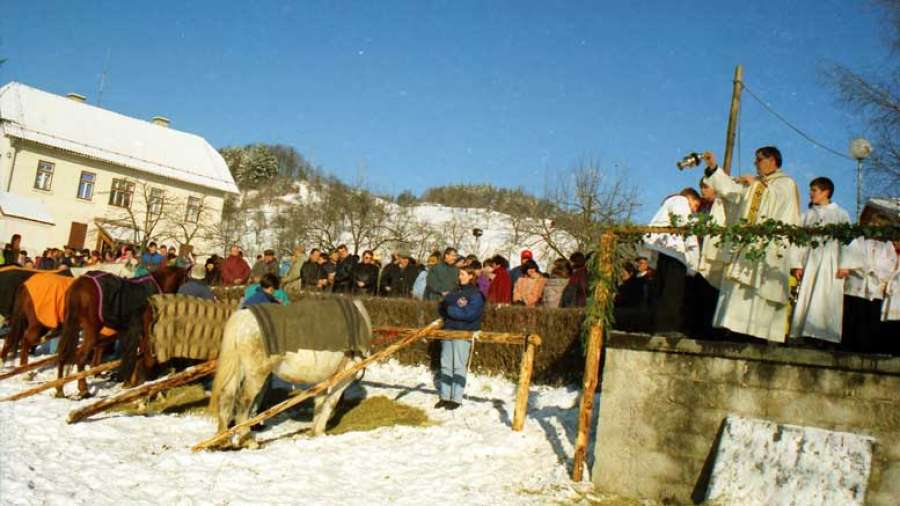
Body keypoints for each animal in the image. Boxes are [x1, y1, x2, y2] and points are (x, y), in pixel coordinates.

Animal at [55, 266, 186, 398]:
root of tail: (78, 286)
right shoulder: (146, 330)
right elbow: (146, 356)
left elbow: (138, 355)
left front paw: (131, 381)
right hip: (91, 330)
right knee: (81, 357)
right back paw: (83, 389)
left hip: (71, 326)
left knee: (62, 354)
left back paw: (60, 389)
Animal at [209, 298, 370, 448]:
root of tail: (244, 316)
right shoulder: (345, 375)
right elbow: (330, 402)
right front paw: (319, 431)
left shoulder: (325, 378)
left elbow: (320, 402)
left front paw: (315, 432)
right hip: (256, 374)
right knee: (244, 401)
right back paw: (248, 440)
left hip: (238, 369)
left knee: (226, 396)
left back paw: (222, 438)